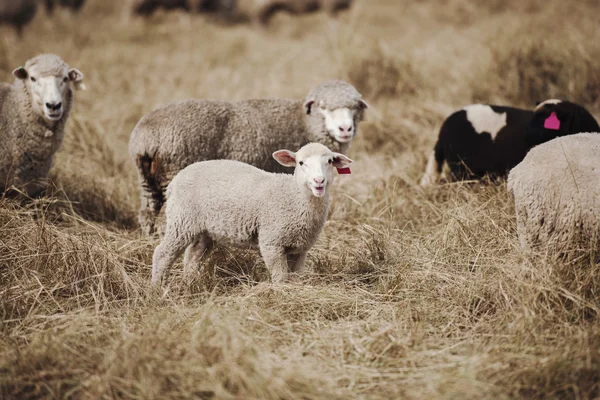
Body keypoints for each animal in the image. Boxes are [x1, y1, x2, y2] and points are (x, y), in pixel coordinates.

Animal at [129, 79, 368, 236]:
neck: (304, 123)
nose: (345, 128)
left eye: (355, 107)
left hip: (147, 181)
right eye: (323, 106)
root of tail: (146, 138)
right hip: (175, 172)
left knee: (147, 214)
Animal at [150, 142, 354, 286]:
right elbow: (280, 278)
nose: (319, 181)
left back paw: (190, 285)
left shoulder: (300, 249)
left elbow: (295, 277)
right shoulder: (271, 242)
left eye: (329, 161)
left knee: (192, 256)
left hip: (203, 229)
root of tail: (175, 181)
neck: (293, 196)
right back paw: (156, 290)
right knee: (162, 254)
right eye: (301, 163)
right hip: (181, 220)